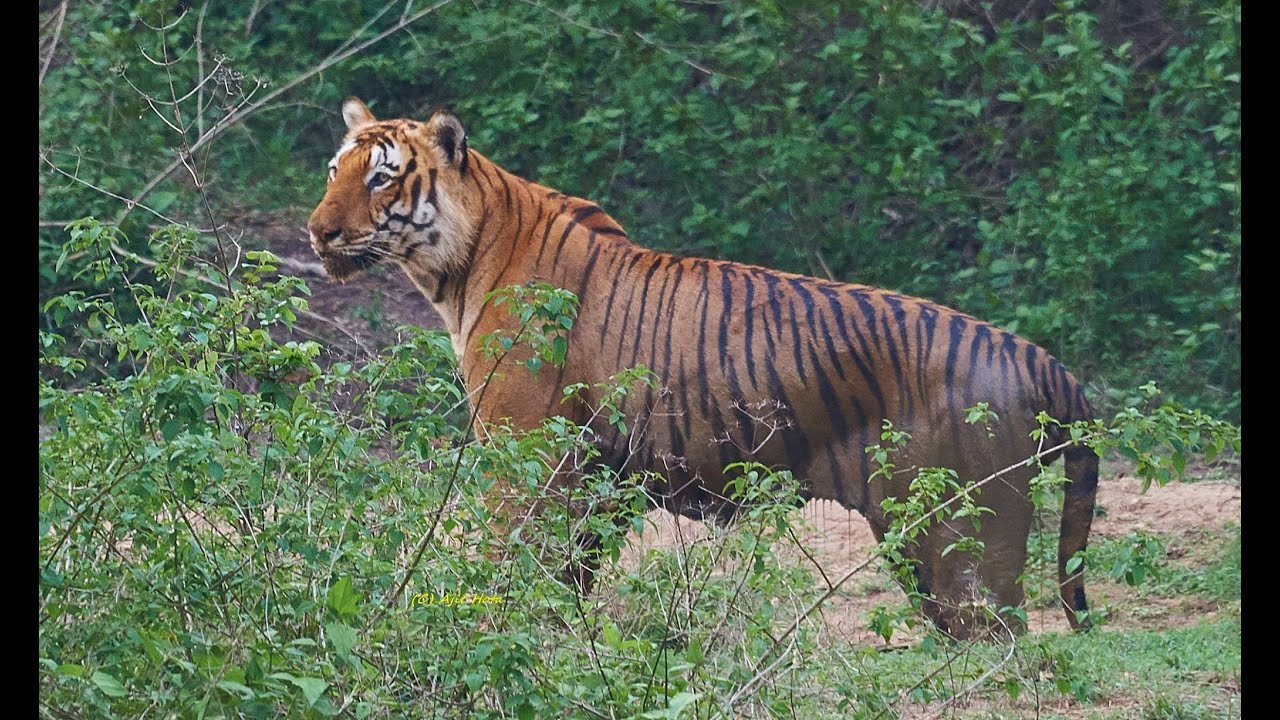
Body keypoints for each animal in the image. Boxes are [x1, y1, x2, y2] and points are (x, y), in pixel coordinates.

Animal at [306, 98, 1099, 639]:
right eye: (336, 170)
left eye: (381, 181)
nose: (318, 232)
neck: (458, 264)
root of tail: (1036, 357)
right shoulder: (599, 477)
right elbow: (567, 580)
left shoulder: (525, 457)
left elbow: (512, 568)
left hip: (966, 538)